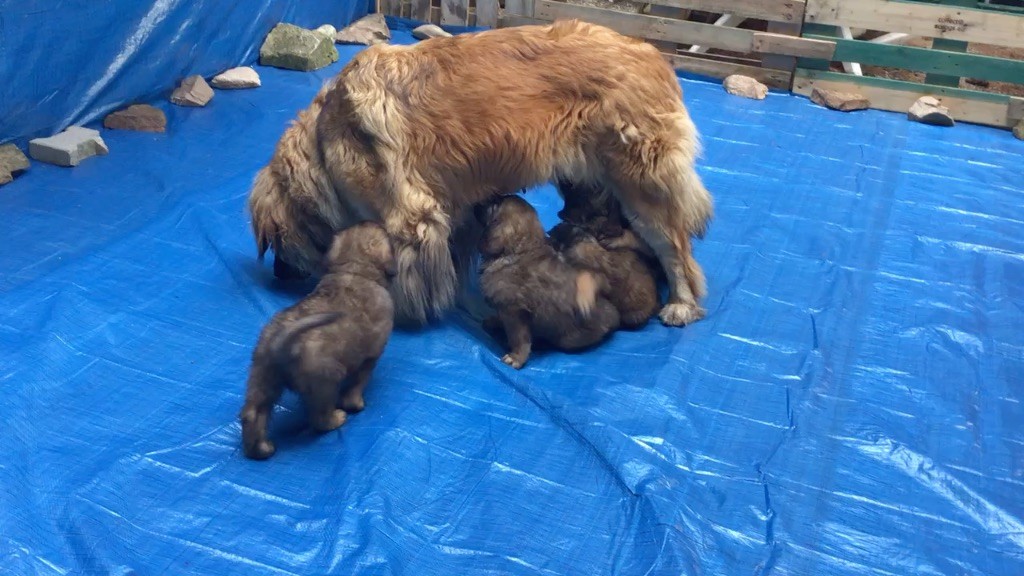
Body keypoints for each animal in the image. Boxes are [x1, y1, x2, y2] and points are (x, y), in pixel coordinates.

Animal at [239, 219, 395, 457]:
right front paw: (355, 405)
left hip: (263, 376)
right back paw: (336, 419)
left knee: (252, 413)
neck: (354, 270)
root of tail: (281, 343)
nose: (370, 220)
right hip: (325, 382)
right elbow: (357, 384)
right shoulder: (370, 357)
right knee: (319, 419)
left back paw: (260, 449)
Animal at [247, 19, 712, 327]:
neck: (325, 138)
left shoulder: (410, 217)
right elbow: (454, 258)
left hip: (641, 188)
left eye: (274, 244)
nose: (278, 275)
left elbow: (406, 275)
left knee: (675, 249)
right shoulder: (453, 210)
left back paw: (681, 304)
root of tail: (652, 53)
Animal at [477, 193, 618, 366]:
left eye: (496, 204)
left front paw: (516, 357)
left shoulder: (514, 312)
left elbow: (519, 338)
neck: (517, 251)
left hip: (568, 338)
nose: (476, 203)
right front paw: (494, 322)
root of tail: (615, 315)